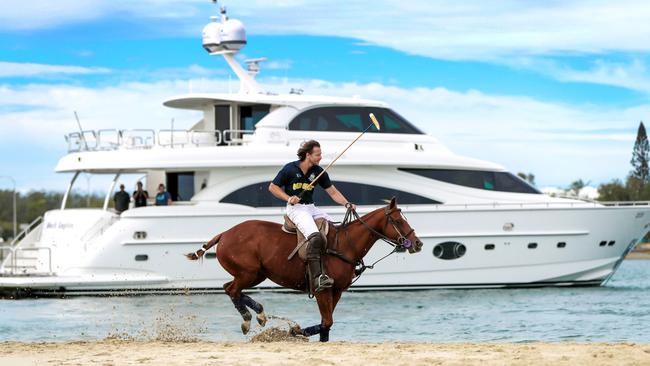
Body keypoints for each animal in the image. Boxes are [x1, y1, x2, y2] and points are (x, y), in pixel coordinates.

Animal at [185, 199, 422, 342]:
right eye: (398, 220)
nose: (418, 244)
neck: (345, 244)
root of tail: (224, 233)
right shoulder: (321, 289)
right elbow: (327, 321)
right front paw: (296, 330)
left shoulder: (337, 291)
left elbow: (327, 323)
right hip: (249, 273)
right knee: (232, 289)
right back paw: (249, 318)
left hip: (256, 274)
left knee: (229, 287)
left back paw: (259, 313)